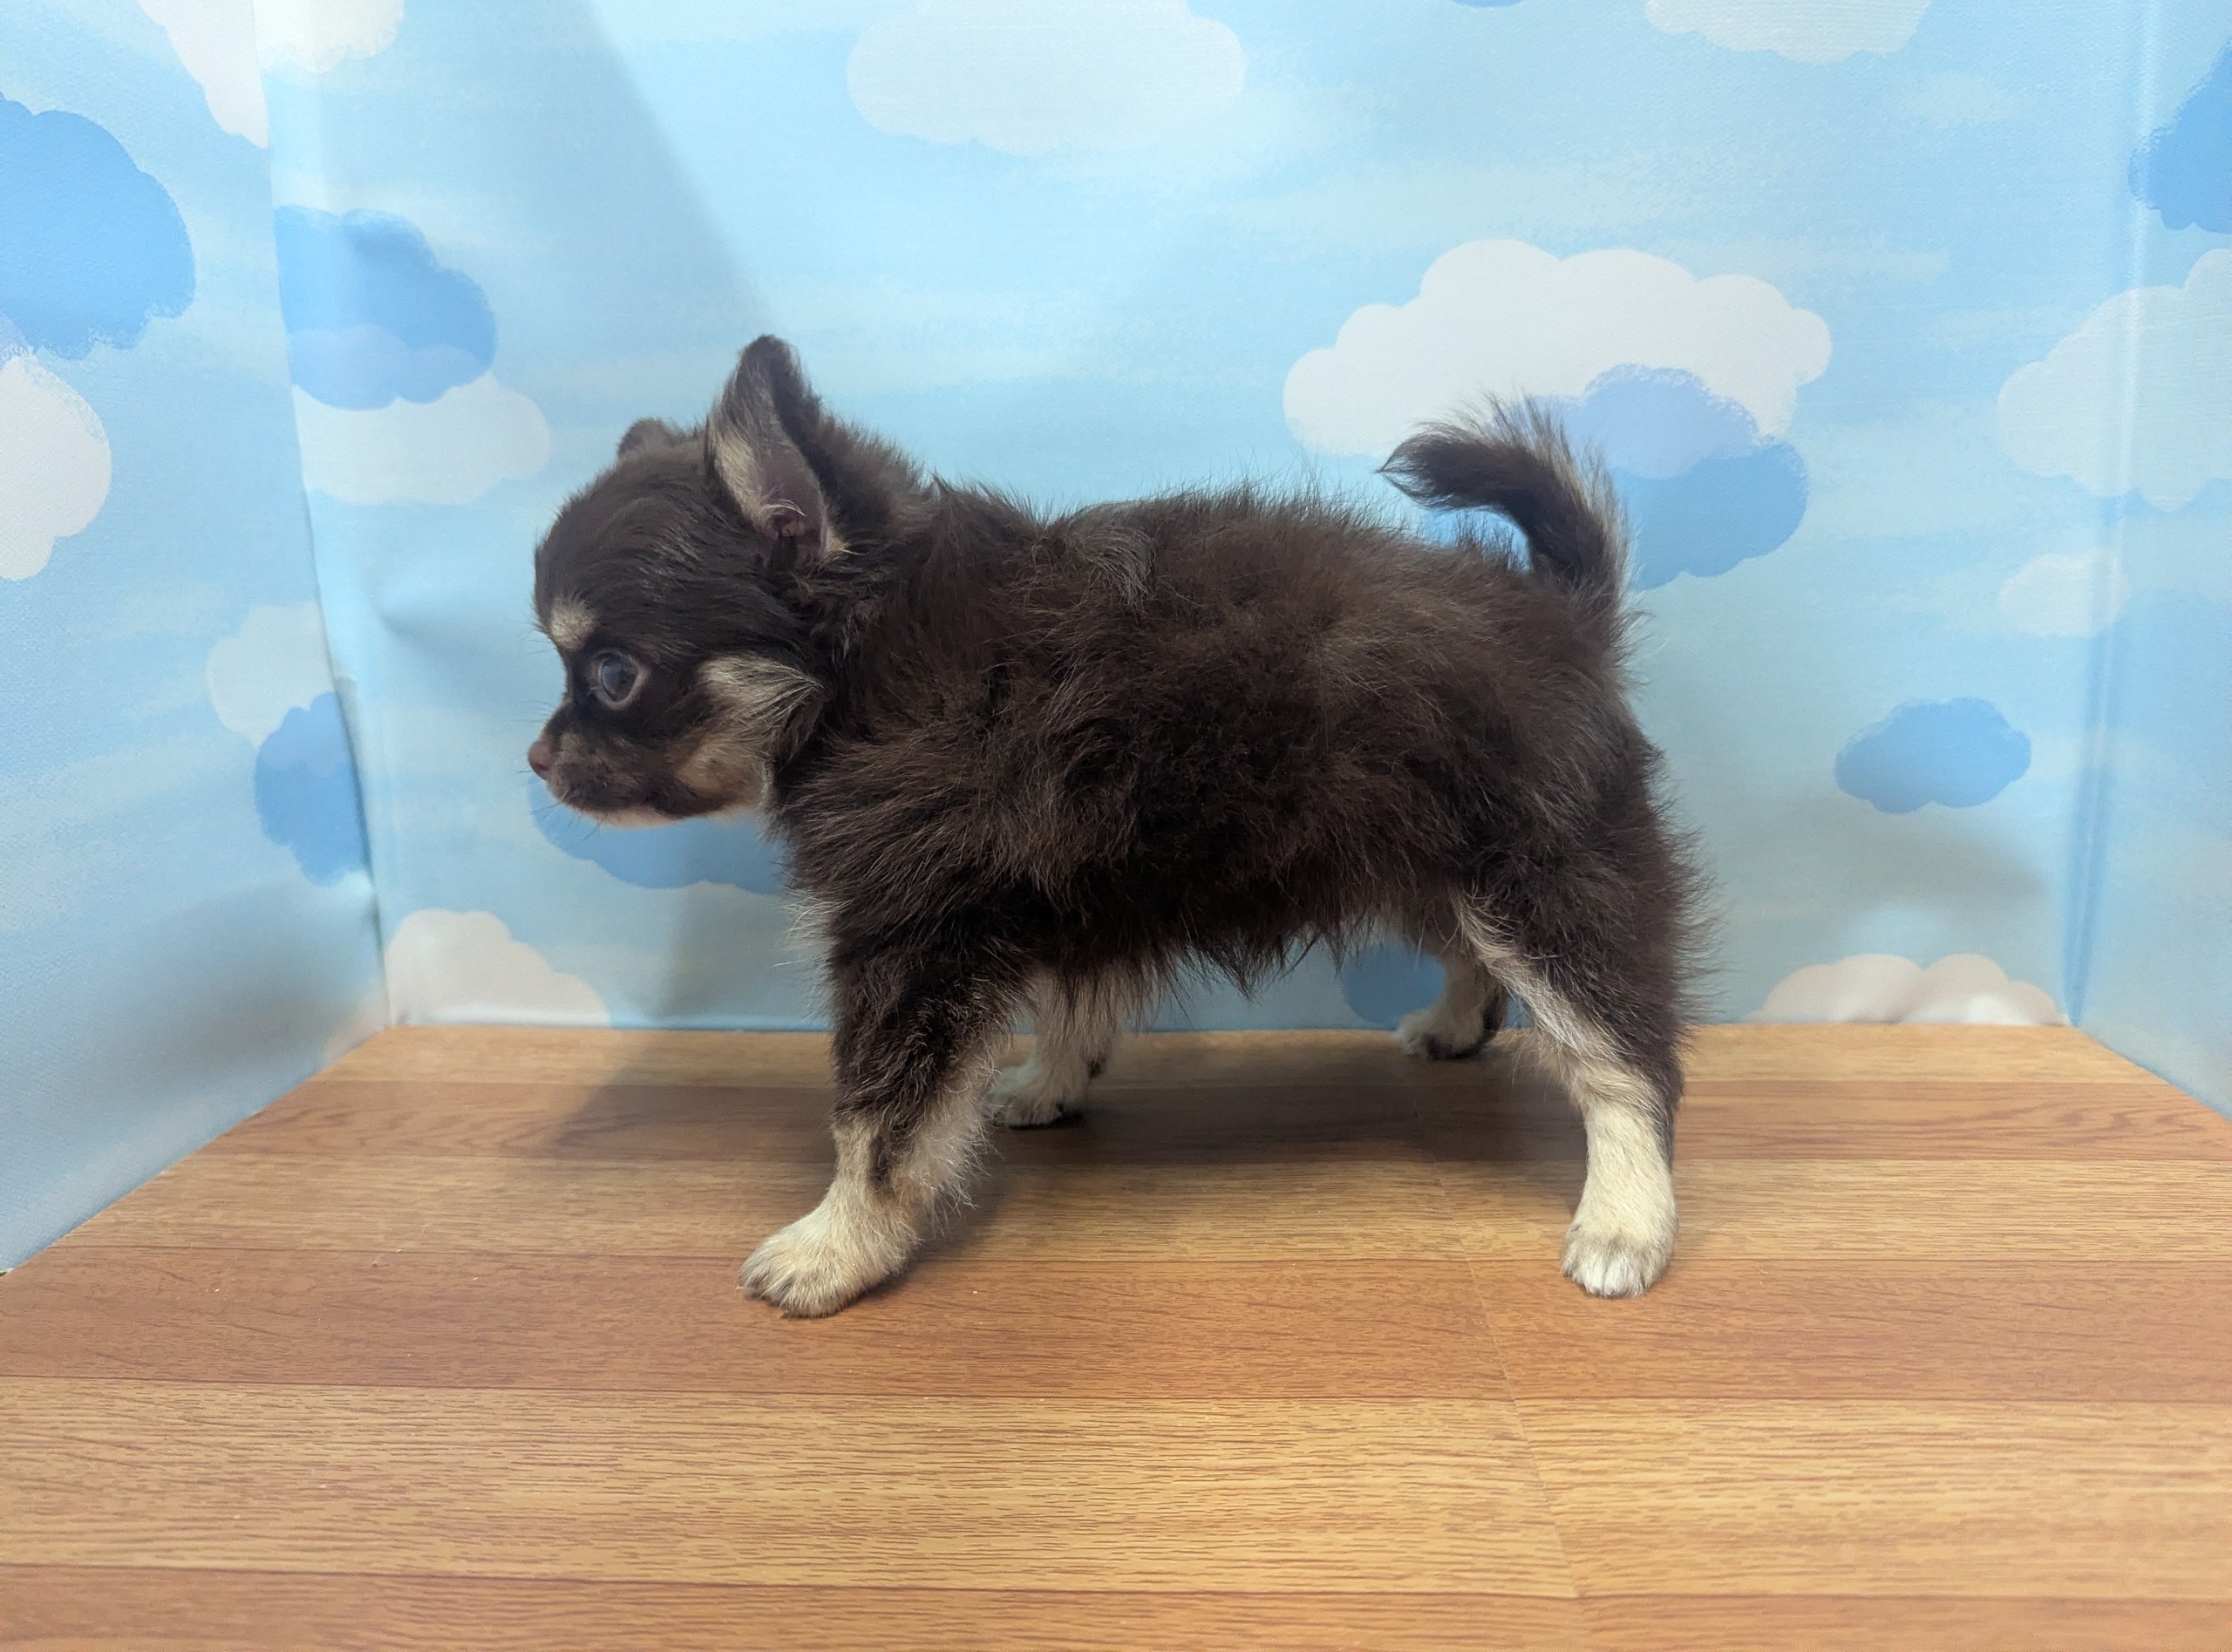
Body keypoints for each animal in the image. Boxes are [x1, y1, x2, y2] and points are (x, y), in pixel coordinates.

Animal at [529, 336, 1702, 1317]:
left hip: (1543, 878)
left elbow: (875, 1121)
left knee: (1625, 1056)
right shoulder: (1053, 896)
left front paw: (838, 1245)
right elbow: (1069, 1005)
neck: (866, 666)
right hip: (1435, 865)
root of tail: (1562, 611)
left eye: (613, 674)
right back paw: (1459, 1025)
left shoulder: (911, 943)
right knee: (1485, 964)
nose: (538, 759)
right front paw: (1049, 1084)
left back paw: (1625, 1216)